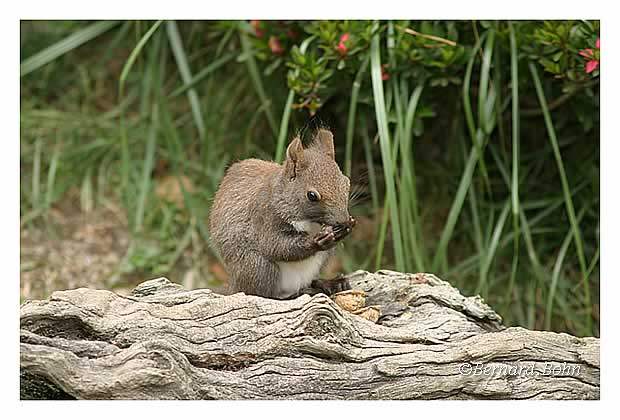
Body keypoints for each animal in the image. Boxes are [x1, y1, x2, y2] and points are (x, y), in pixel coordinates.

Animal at [208, 128, 354, 298]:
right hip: (257, 266)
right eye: (311, 195)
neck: (312, 223)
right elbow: (276, 246)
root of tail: (234, 286)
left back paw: (328, 283)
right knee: (262, 293)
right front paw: (316, 241)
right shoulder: (265, 217)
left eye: (347, 183)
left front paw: (346, 228)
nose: (343, 220)